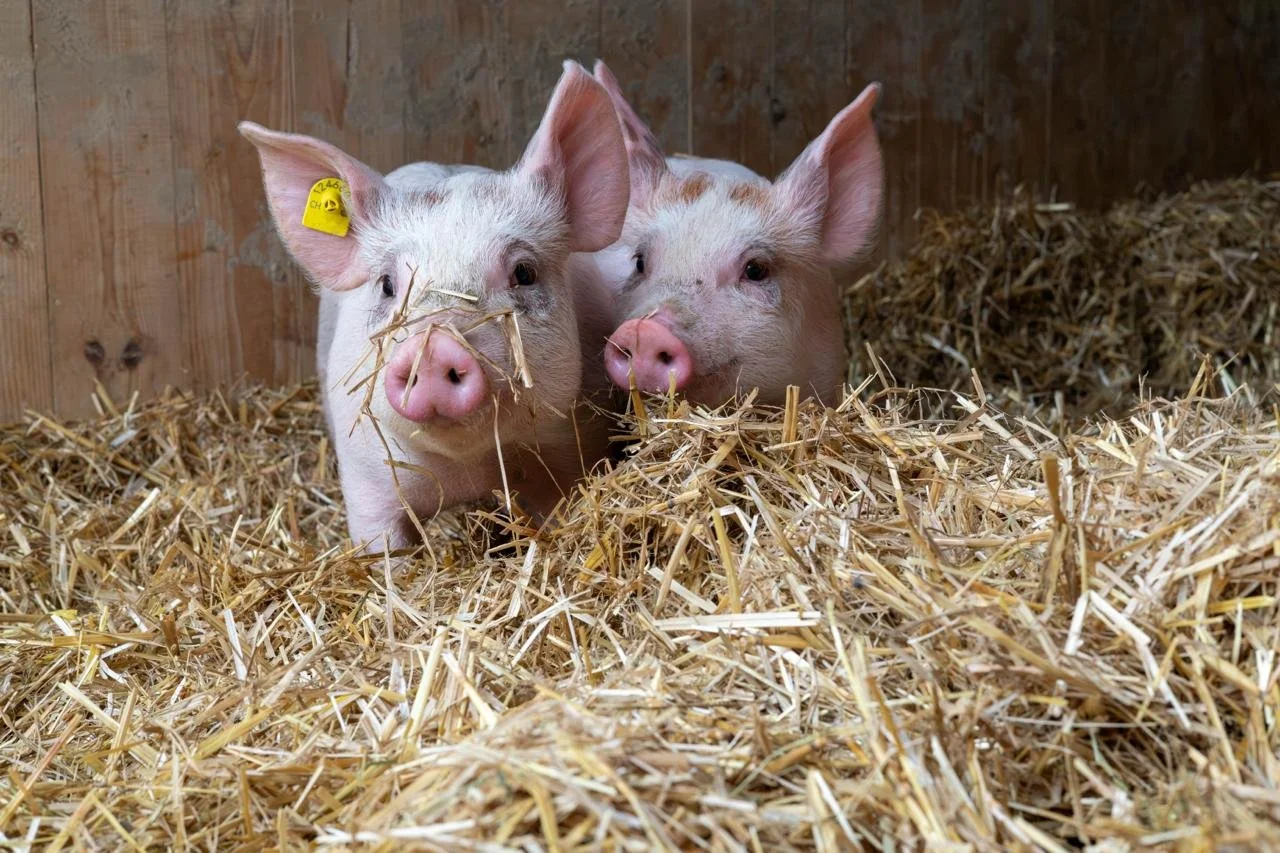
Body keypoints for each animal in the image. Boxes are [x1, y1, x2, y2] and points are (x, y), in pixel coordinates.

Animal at [239, 60, 630, 552]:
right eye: (388, 285)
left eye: (524, 272)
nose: (434, 342)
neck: (468, 472)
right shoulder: (365, 480)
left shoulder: (574, 451)